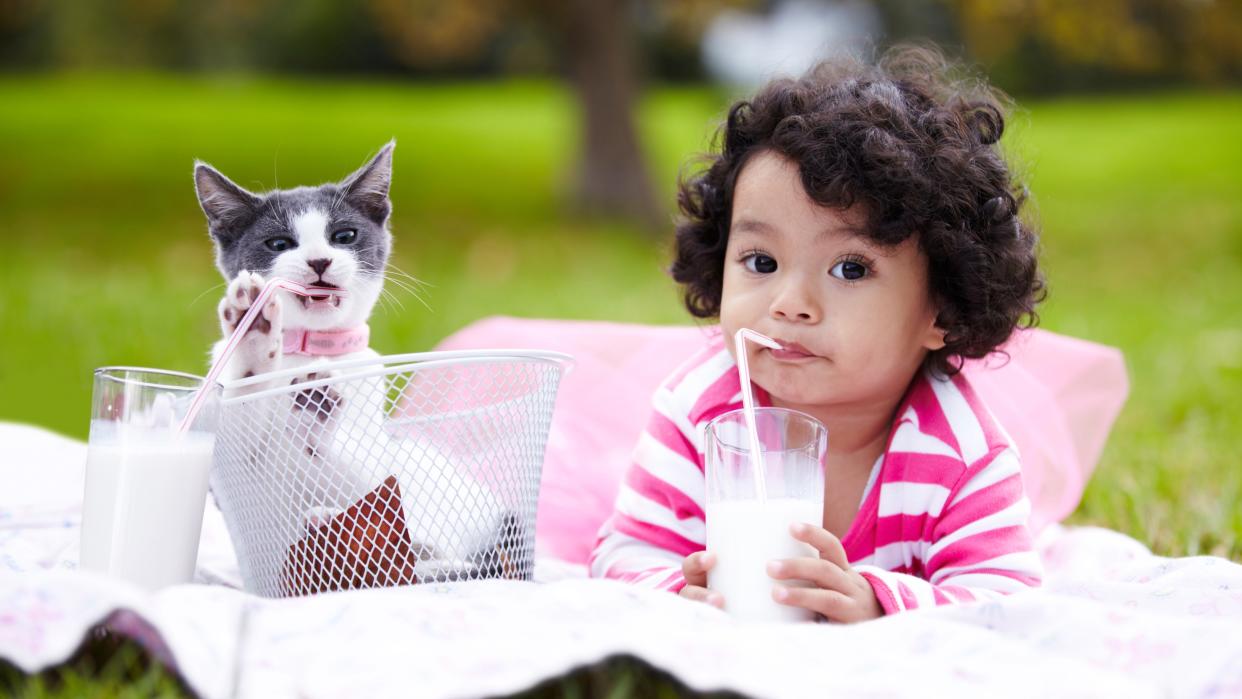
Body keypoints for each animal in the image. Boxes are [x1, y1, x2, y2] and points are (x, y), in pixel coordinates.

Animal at [191, 142, 511, 581]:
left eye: (343, 236)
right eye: (279, 244)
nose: (319, 261)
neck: (309, 349)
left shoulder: (374, 466)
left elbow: (361, 481)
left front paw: (314, 408)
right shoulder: (234, 477)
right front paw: (252, 328)